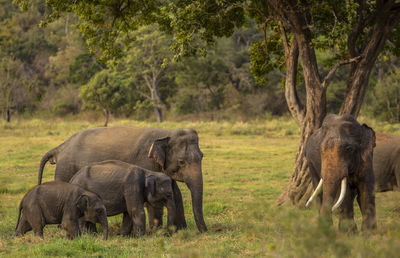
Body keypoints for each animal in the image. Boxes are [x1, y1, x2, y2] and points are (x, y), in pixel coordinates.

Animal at [38, 126, 208, 233]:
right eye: (181, 162)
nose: (205, 232)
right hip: (65, 170)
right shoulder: (145, 161)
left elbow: (176, 193)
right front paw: (156, 232)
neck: (165, 132)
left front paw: (181, 230)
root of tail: (61, 147)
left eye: (202, 157)